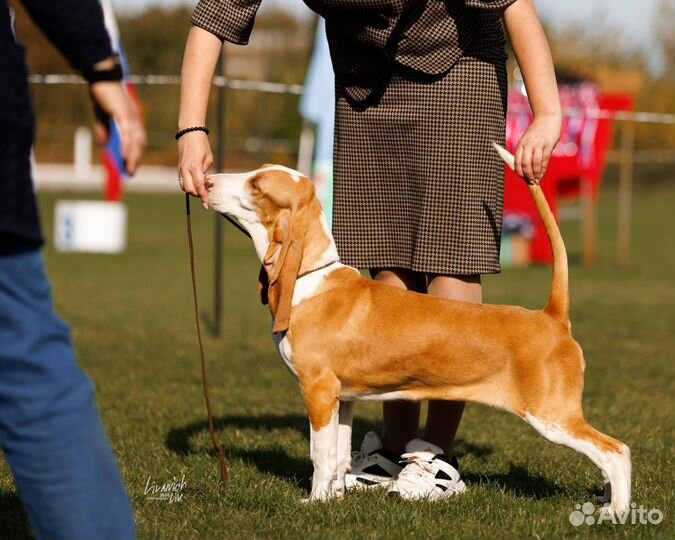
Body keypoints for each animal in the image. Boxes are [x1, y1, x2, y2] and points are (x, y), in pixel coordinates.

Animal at [205, 147, 628, 510]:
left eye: (257, 185)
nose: (206, 179)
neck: (311, 279)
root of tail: (552, 315)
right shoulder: (343, 397)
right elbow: (338, 456)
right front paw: (335, 499)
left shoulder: (318, 390)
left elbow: (319, 455)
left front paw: (314, 502)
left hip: (552, 415)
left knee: (616, 451)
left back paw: (616, 512)